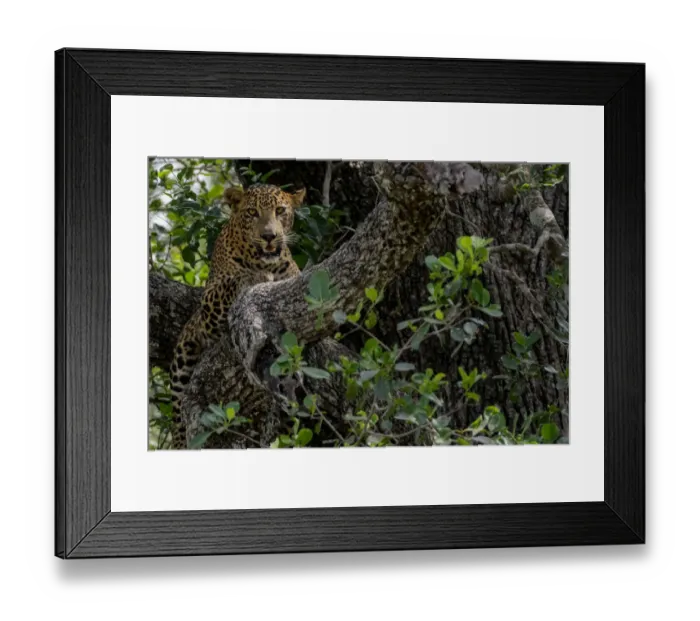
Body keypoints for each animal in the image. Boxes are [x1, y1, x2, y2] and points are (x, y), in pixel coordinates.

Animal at [169, 183, 306, 449]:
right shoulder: (210, 307)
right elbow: (233, 282)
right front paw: (255, 277)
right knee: (177, 413)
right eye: (252, 212)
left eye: (280, 210)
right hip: (183, 356)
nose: (269, 236)